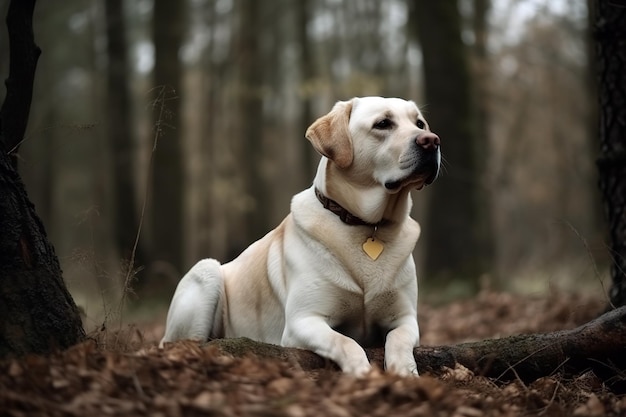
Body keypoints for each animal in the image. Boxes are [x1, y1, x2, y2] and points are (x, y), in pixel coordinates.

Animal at [158, 96, 438, 376]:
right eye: (383, 123)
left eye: (419, 124)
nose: (432, 140)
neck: (367, 225)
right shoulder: (302, 321)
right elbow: (346, 343)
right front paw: (363, 374)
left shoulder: (405, 318)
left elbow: (398, 340)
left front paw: (405, 374)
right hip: (205, 273)